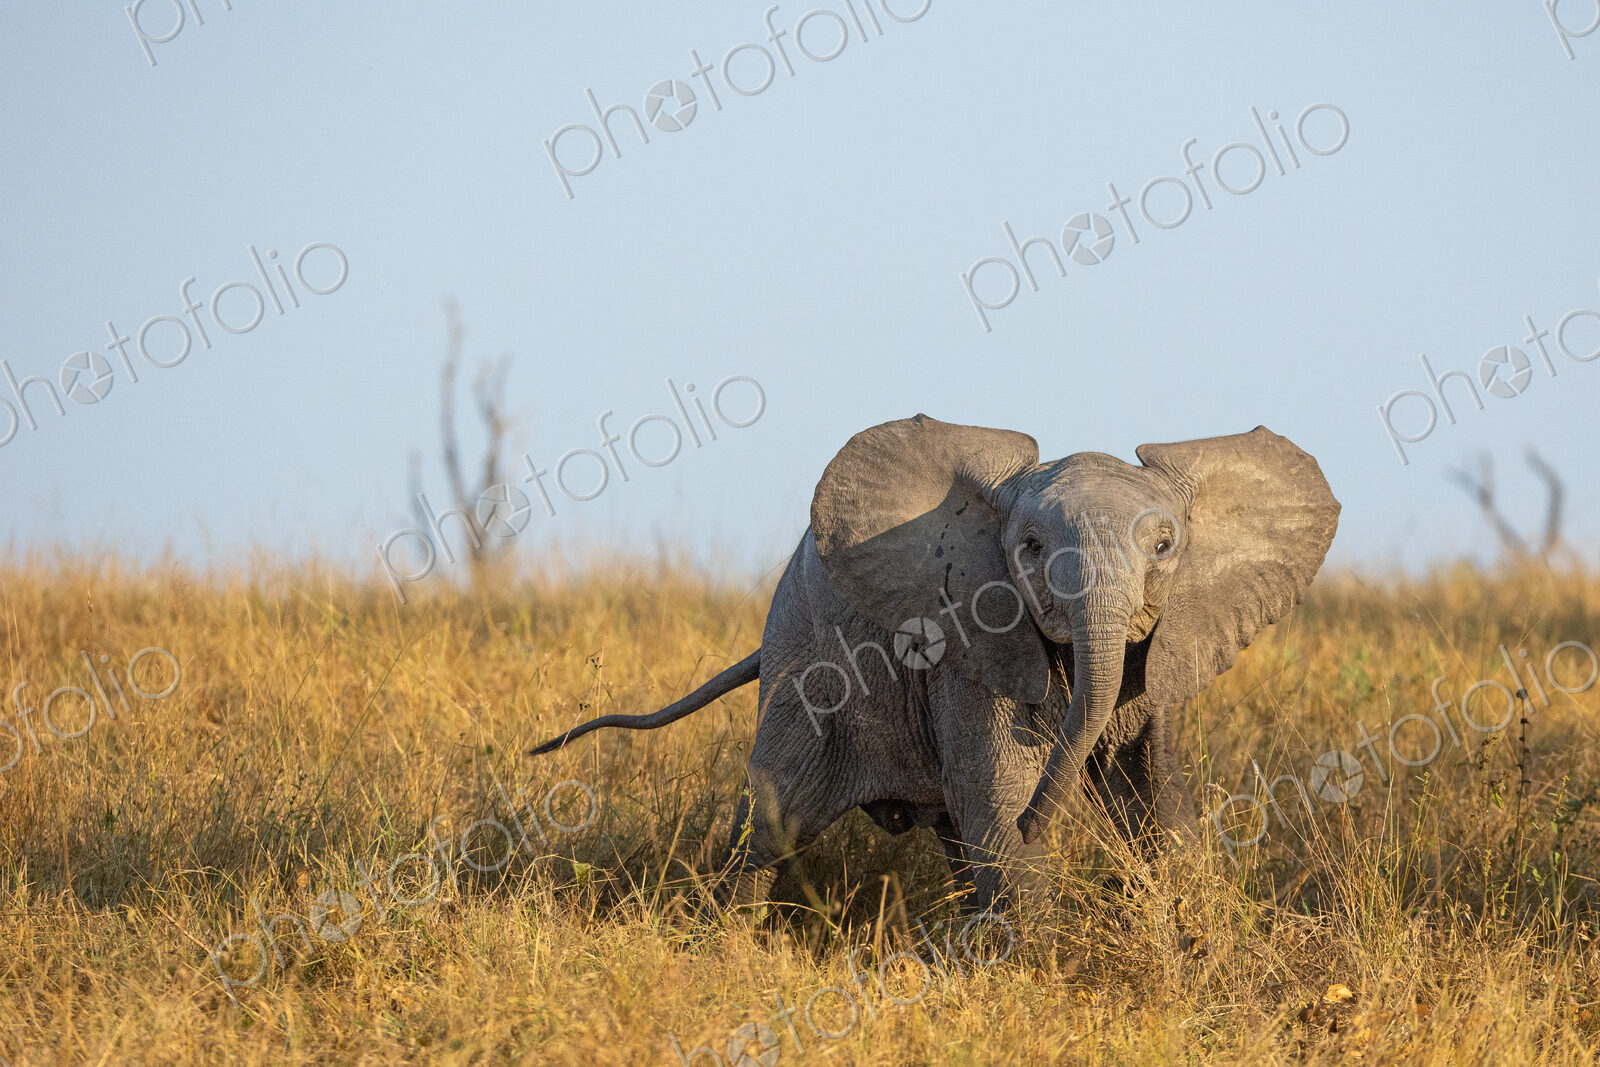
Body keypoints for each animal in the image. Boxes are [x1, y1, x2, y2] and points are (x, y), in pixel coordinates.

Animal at [530, 415, 1340, 912]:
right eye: (1030, 549)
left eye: (1166, 546)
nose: (1048, 822)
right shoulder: (973, 644)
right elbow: (999, 798)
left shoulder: (1162, 647)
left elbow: (1156, 798)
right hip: (805, 664)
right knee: (772, 820)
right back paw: (722, 942)